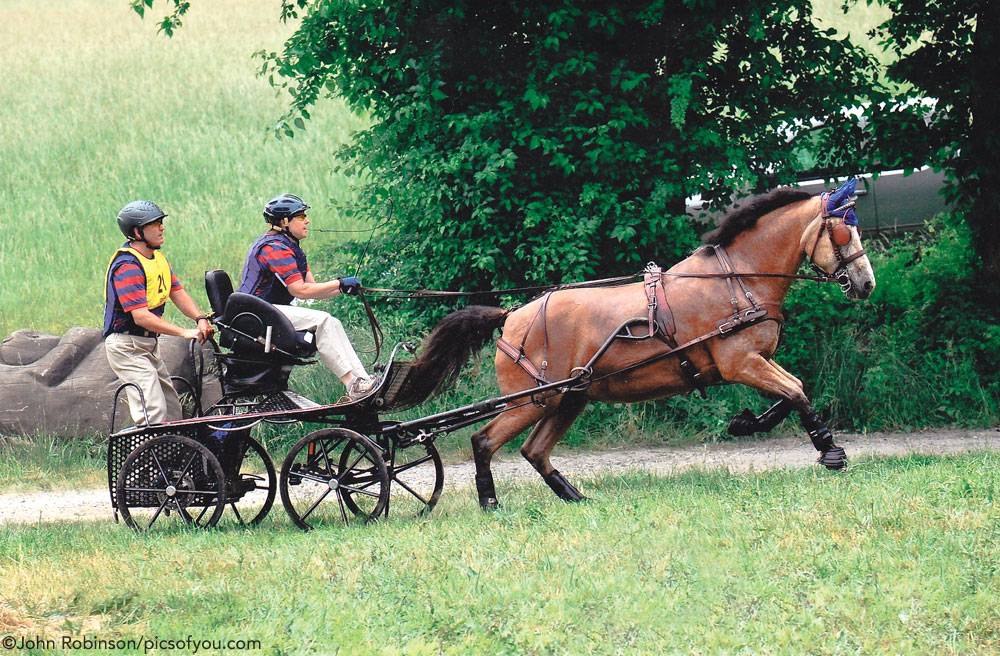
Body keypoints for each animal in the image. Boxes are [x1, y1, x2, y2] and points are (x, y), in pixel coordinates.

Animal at [406, 178, 876, 508]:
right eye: (844, 234)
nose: (866, 283)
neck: (738, 279)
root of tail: (511, 318)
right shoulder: (740, 361)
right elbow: (795, 391)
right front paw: (831, 452)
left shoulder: (753, 360)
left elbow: (790, 394)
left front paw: (747, 423)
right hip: (532, 401)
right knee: (484, 441)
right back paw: (490, 502)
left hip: (569, 398)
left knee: (533, 450)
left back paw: (575, 498)